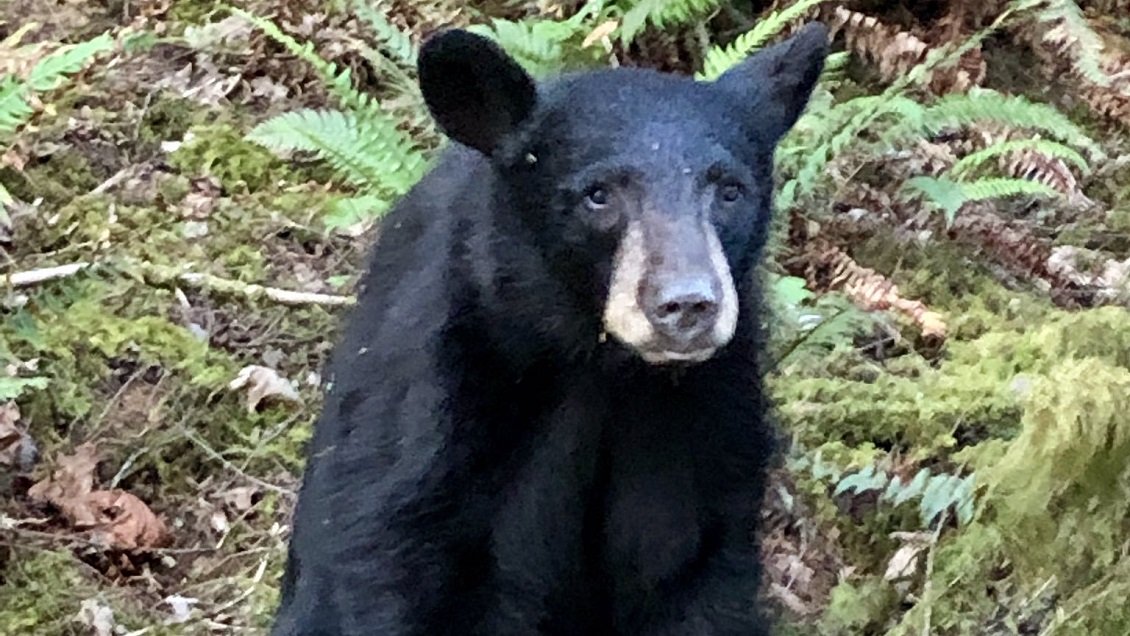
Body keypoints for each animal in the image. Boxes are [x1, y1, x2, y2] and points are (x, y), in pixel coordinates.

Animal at [271, 21, 828, 636]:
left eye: (729, 190)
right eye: (598, 194)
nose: (687, 305)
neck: (600, 366)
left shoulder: (708, 419)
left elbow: (693, 570)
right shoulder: (437, 409)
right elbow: (387, 558)